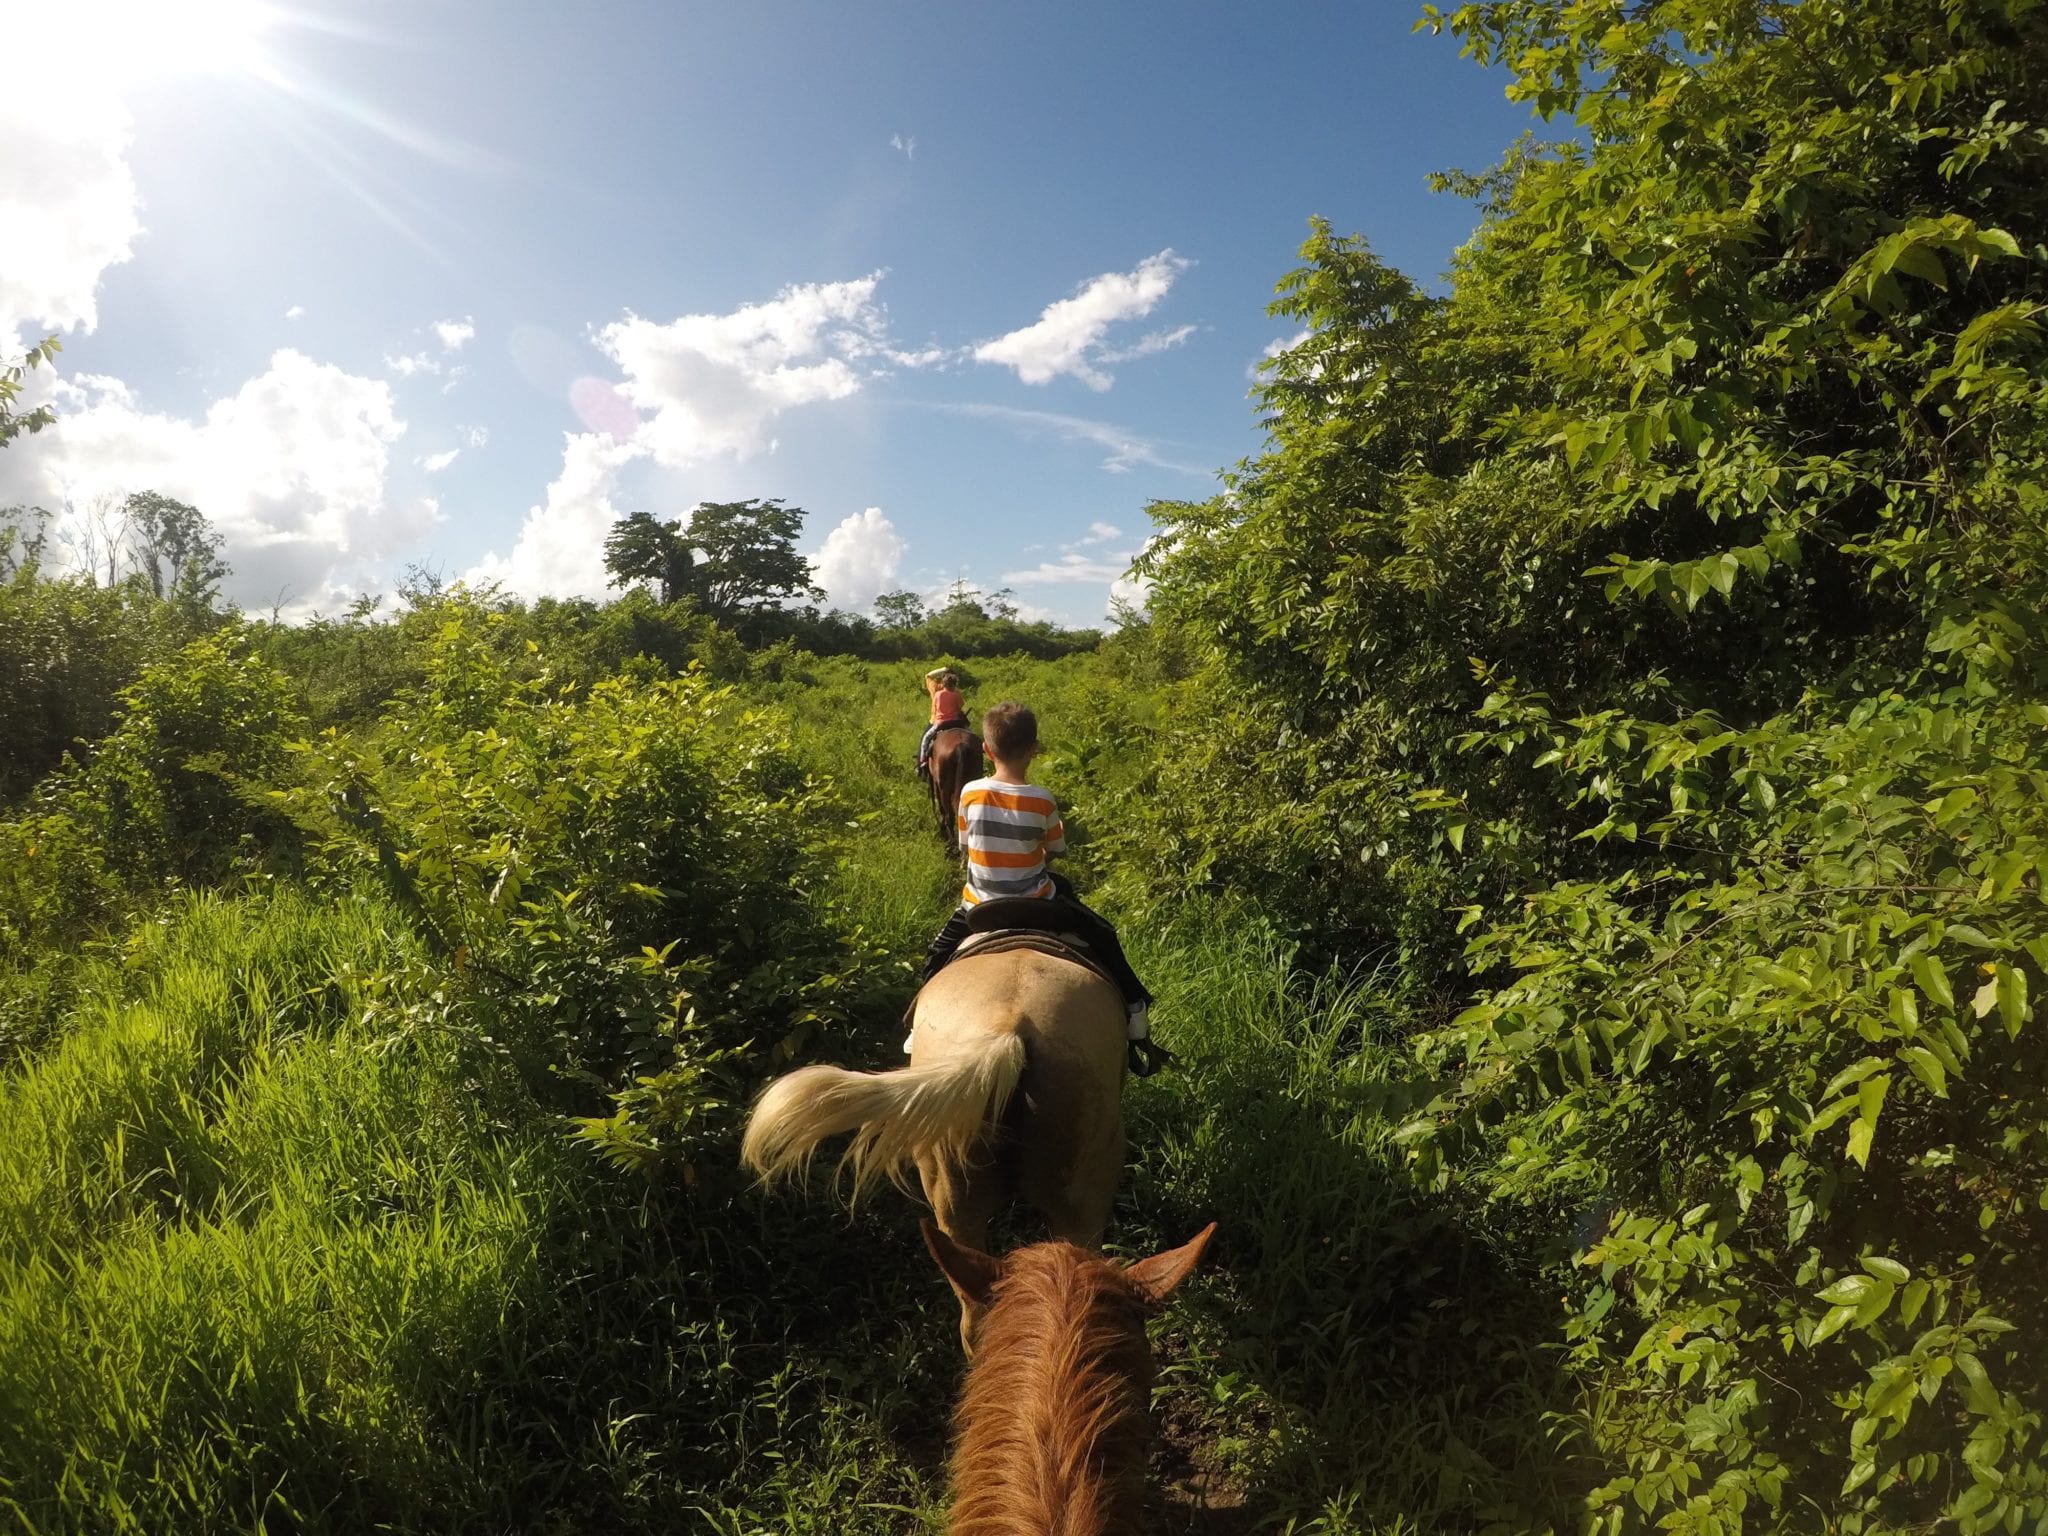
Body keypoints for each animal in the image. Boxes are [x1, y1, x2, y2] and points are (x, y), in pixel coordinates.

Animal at [933, 729, 987, 860]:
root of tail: (960, 747)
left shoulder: (936, 784)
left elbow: (941, 809)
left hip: (944, 788)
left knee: (949, 816)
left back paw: (951, 846)